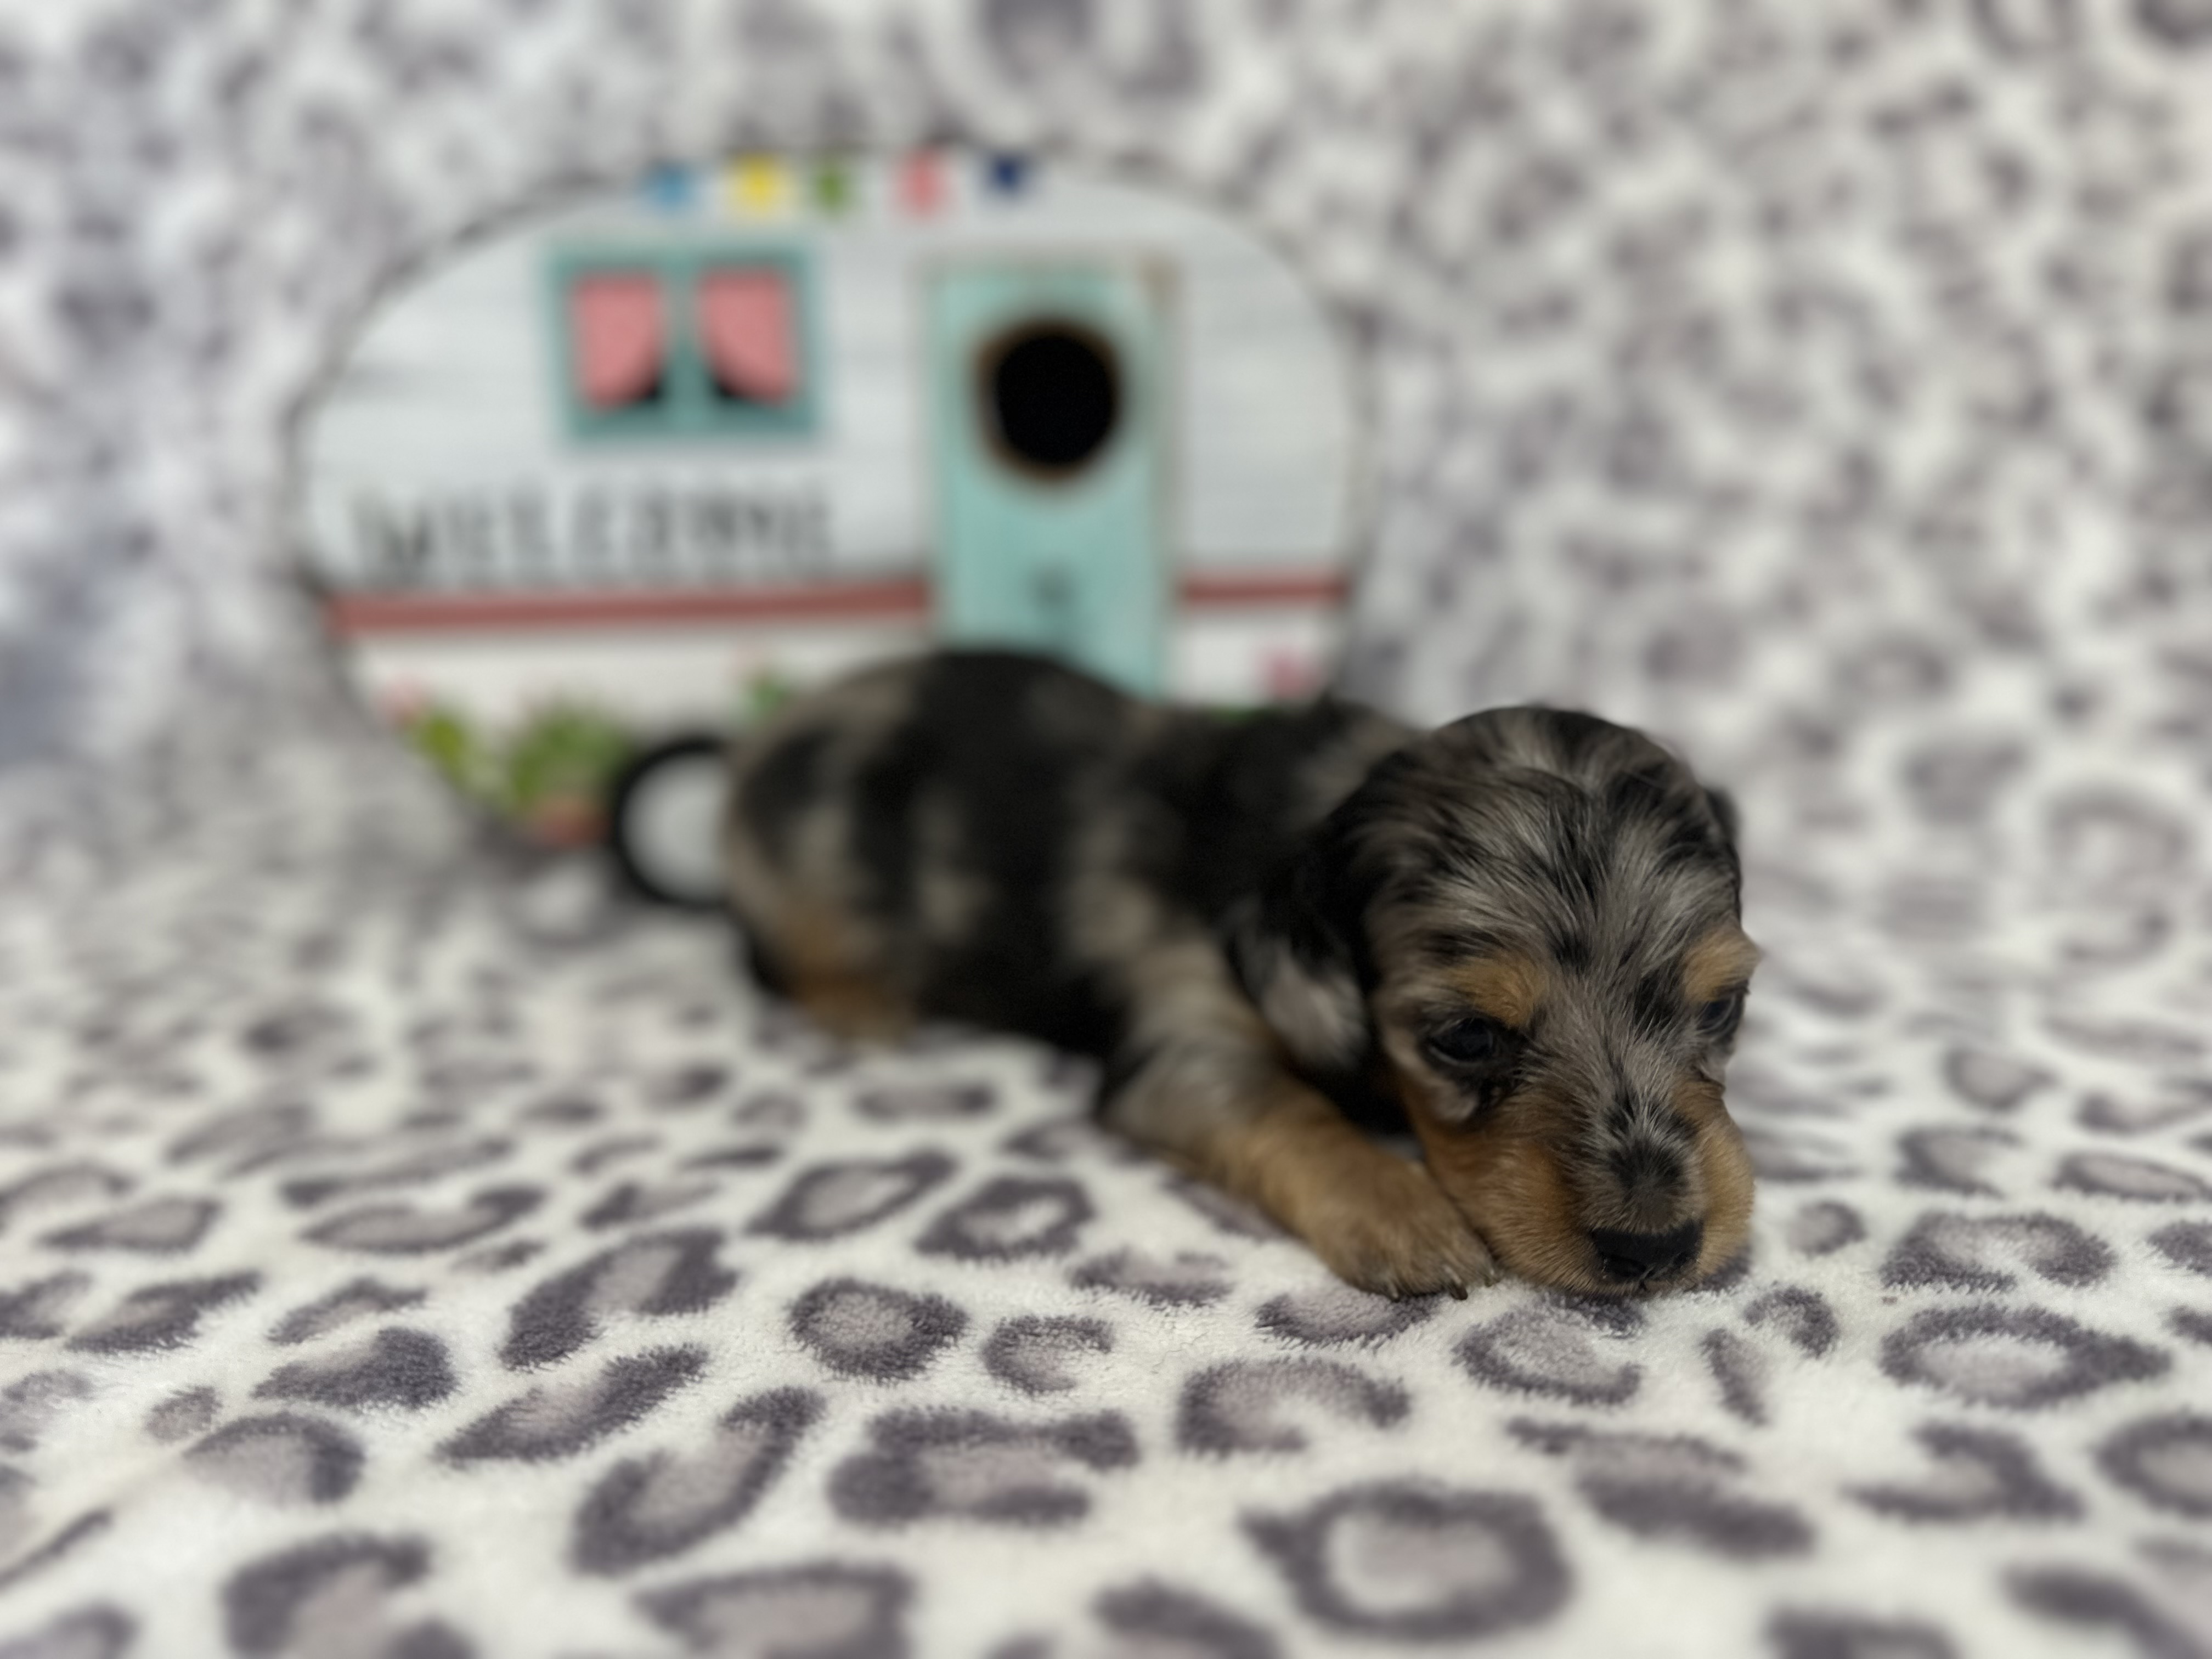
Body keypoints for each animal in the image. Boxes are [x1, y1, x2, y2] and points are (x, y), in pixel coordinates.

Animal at [722, 649, 1756, 1298]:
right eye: (1464, 1037)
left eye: (1725, 1004)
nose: (1657, 1250)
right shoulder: (1187, 1043)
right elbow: (1288, 1108)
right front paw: (1404, 1215)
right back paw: (860, 1003)